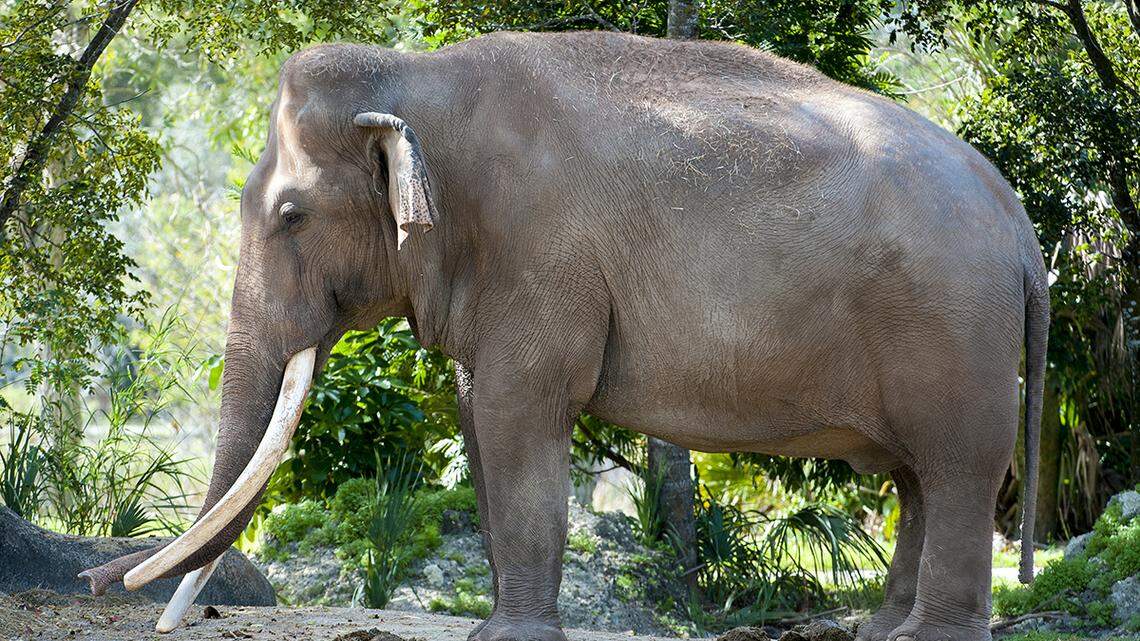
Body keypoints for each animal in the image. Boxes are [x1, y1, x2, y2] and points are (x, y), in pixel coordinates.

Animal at [80, 30, 1049, 641]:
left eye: (290, 215)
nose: (98, 583)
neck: (416, 80)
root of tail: (1020, 224)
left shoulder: (538, 249)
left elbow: (519, 410)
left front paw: (510, 635)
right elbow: (480, 415)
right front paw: (490, 628)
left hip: (953, 328)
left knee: (958, 465)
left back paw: (931, 636)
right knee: (916, 476)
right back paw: (883, 628)